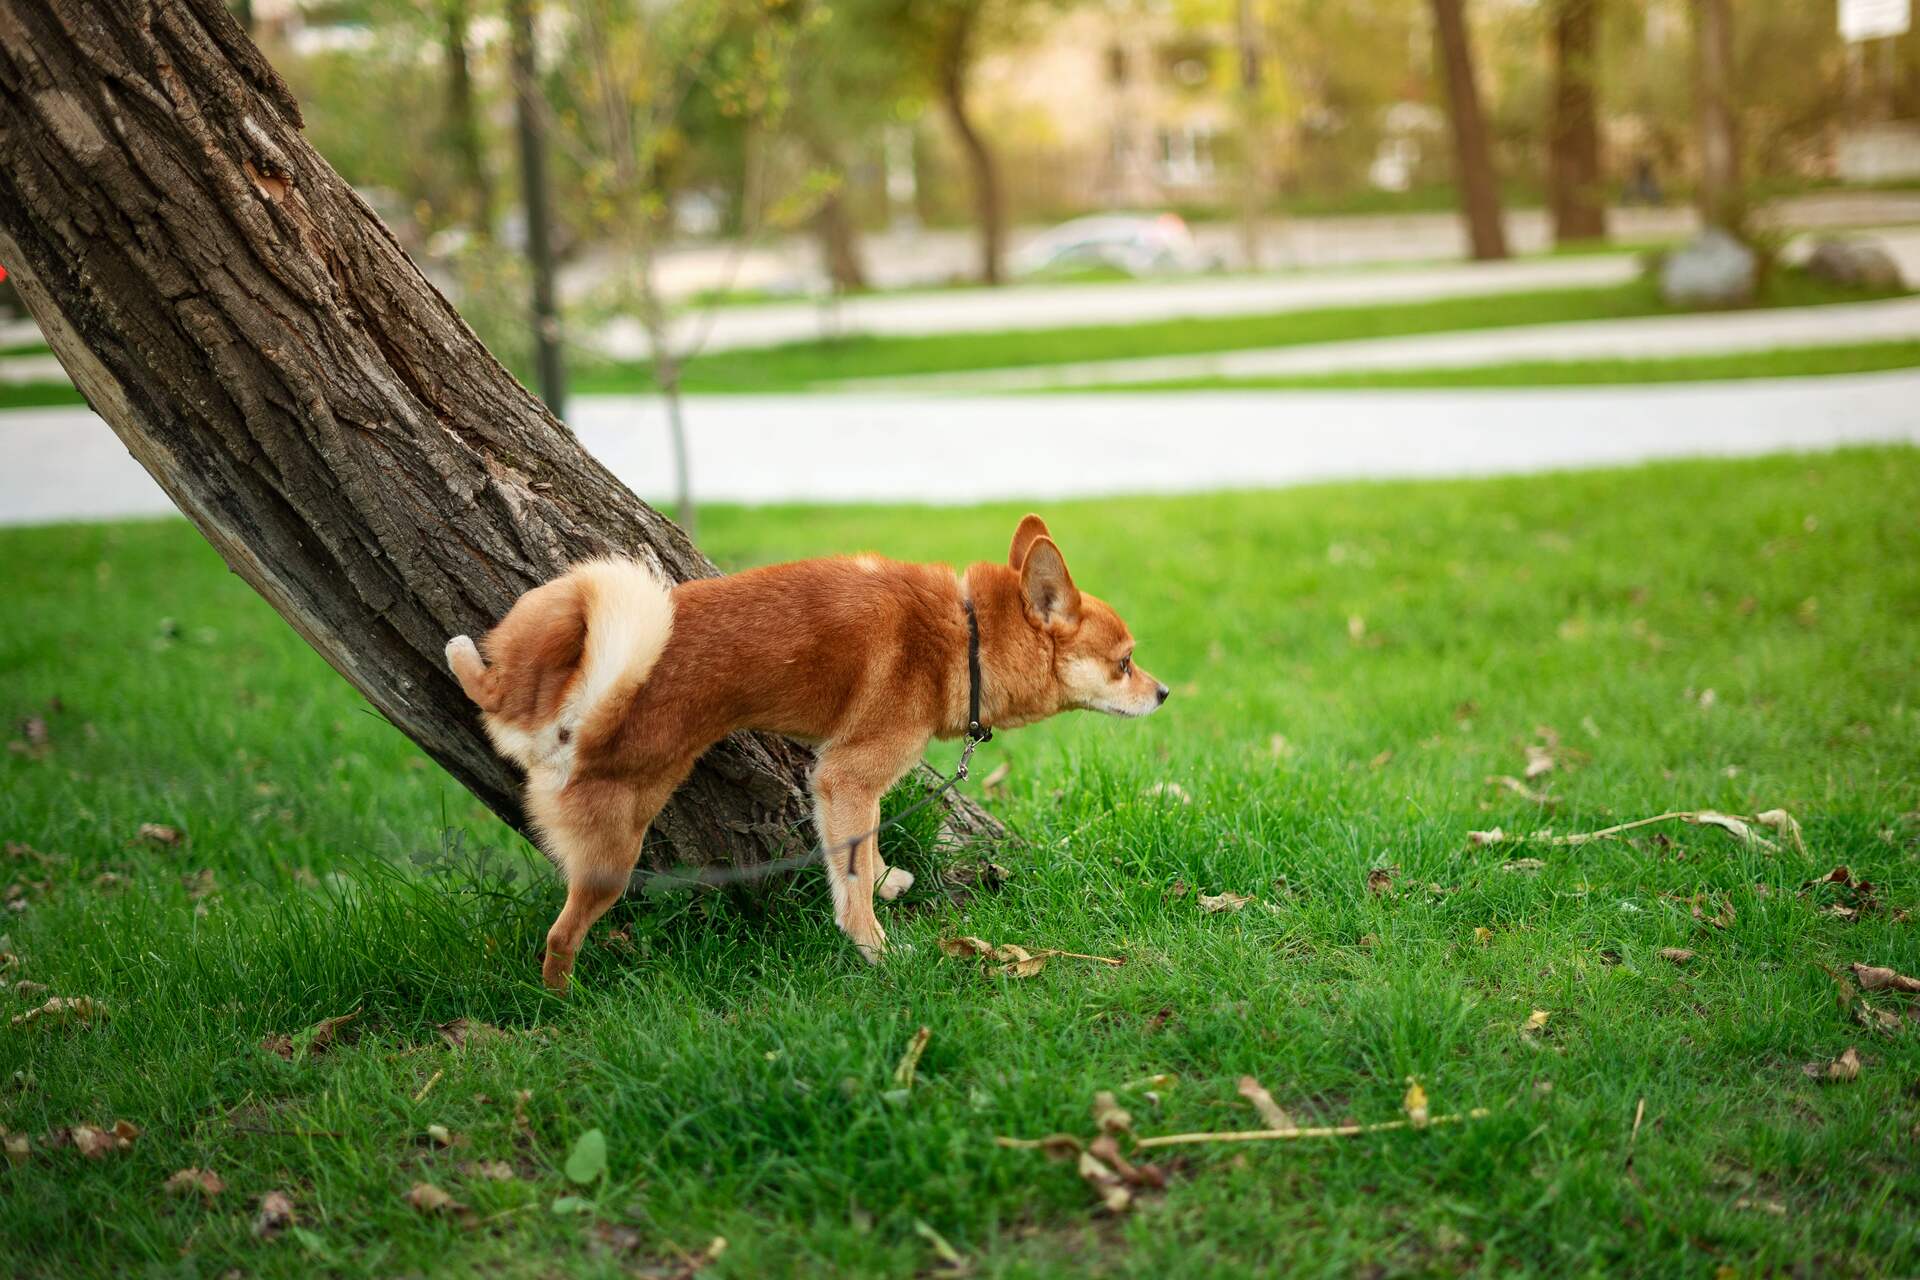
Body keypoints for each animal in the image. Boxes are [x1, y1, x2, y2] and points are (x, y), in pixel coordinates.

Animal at [449, 514, 1167, 990]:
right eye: (1126, 663)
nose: (1162, 692)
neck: (962, 634)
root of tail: (566, 729)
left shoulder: (850, 791)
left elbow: (864, 853)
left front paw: (887, 878)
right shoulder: (847, 778)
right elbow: (851, 887)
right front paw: (877, 949)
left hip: (566, 605)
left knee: (497, 677)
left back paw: (465, 659)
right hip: (612, 856)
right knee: (560, 937)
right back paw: (563, 999)